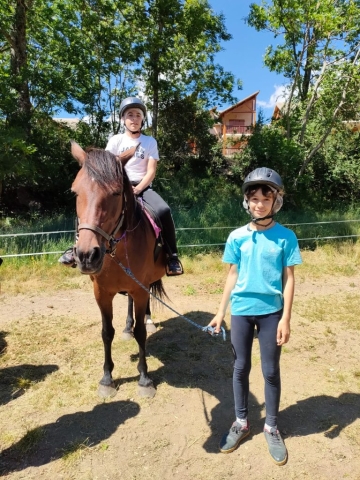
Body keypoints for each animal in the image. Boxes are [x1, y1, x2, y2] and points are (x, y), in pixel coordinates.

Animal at [71, 142, 168, 398]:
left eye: (115, 193)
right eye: (75, 192)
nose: (86, 256)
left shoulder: (140, 289)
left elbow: (141, 333)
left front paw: (144, 380)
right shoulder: (101, 293)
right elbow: (107, 332)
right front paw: (107, 379)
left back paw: (147, 320)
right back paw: (127, 327)